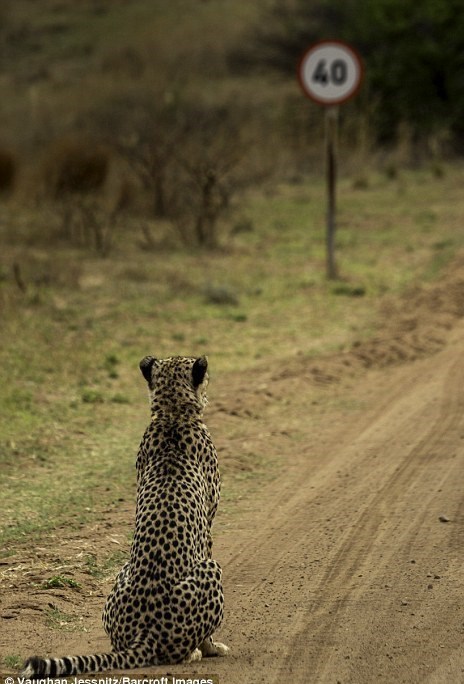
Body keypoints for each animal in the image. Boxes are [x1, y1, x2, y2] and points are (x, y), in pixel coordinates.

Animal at [21, 355, 229, 677]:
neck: (172, 415)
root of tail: (145, 632)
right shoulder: (208, 525)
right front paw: (212, 647)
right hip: (211, 568)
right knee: (178, 652)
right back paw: (195, 652)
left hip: (121, 574)